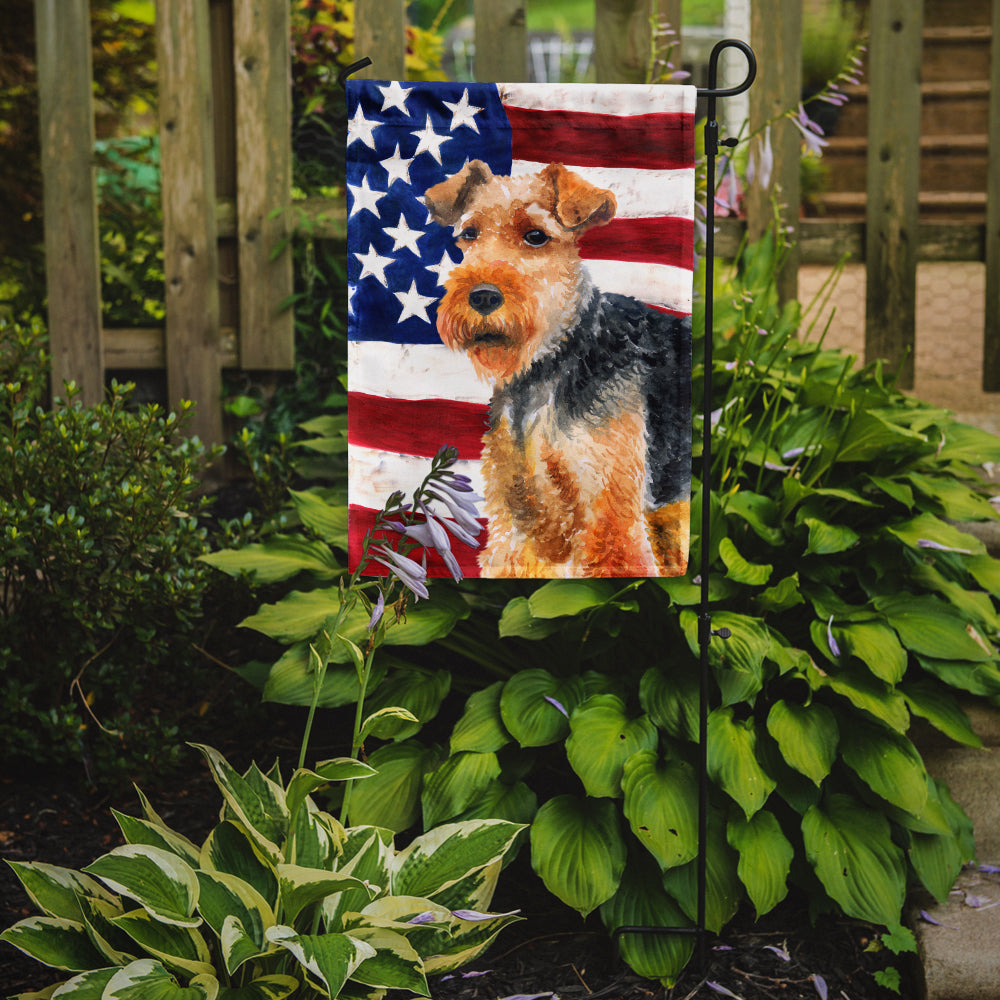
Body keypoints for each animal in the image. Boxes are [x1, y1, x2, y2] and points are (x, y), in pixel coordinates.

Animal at [422, 159, 688, 576]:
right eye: (469, 234)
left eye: (535, 236)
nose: (482, 296)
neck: (550, 364)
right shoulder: (520, 521)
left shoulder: (610, 517)